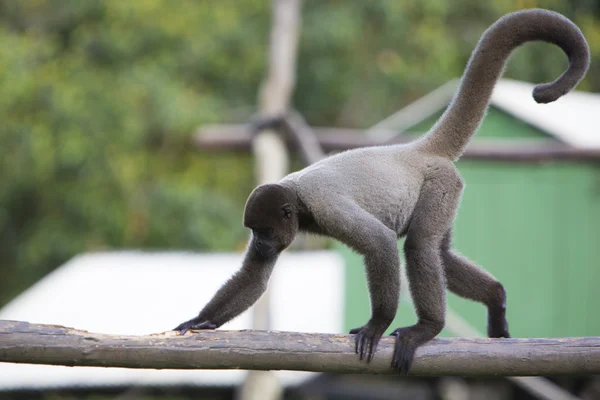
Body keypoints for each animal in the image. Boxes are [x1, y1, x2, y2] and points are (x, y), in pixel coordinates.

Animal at [175, 7, 592, 374]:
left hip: (440, 185)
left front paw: (376, 325)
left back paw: (427, 329)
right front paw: (202, 320)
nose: (260, 244)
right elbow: (255, 277)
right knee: (440, 252)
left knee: (420, 246)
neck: (297, 196)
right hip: (447, 193)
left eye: (262, 230)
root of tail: (417, 150)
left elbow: (380, 243)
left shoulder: (326, 206)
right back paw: (496, 297)